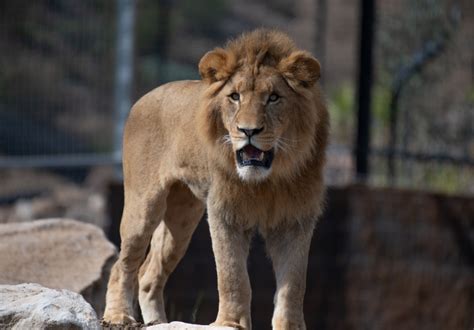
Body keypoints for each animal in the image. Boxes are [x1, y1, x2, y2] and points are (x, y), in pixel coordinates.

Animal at [102, 29, 328, 330]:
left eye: (273, 97)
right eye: (235, 97)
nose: (248, 130)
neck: (268, 180)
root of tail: (144, 97)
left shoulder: (296, 219)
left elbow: (293, 284)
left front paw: (290, 325)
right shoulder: (225, 213)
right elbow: (232, 275)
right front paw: (231, 323)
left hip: (182, 217)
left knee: (149, 274)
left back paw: (158, 323)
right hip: (144, 205)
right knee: (123, 264)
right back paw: (118, 316)